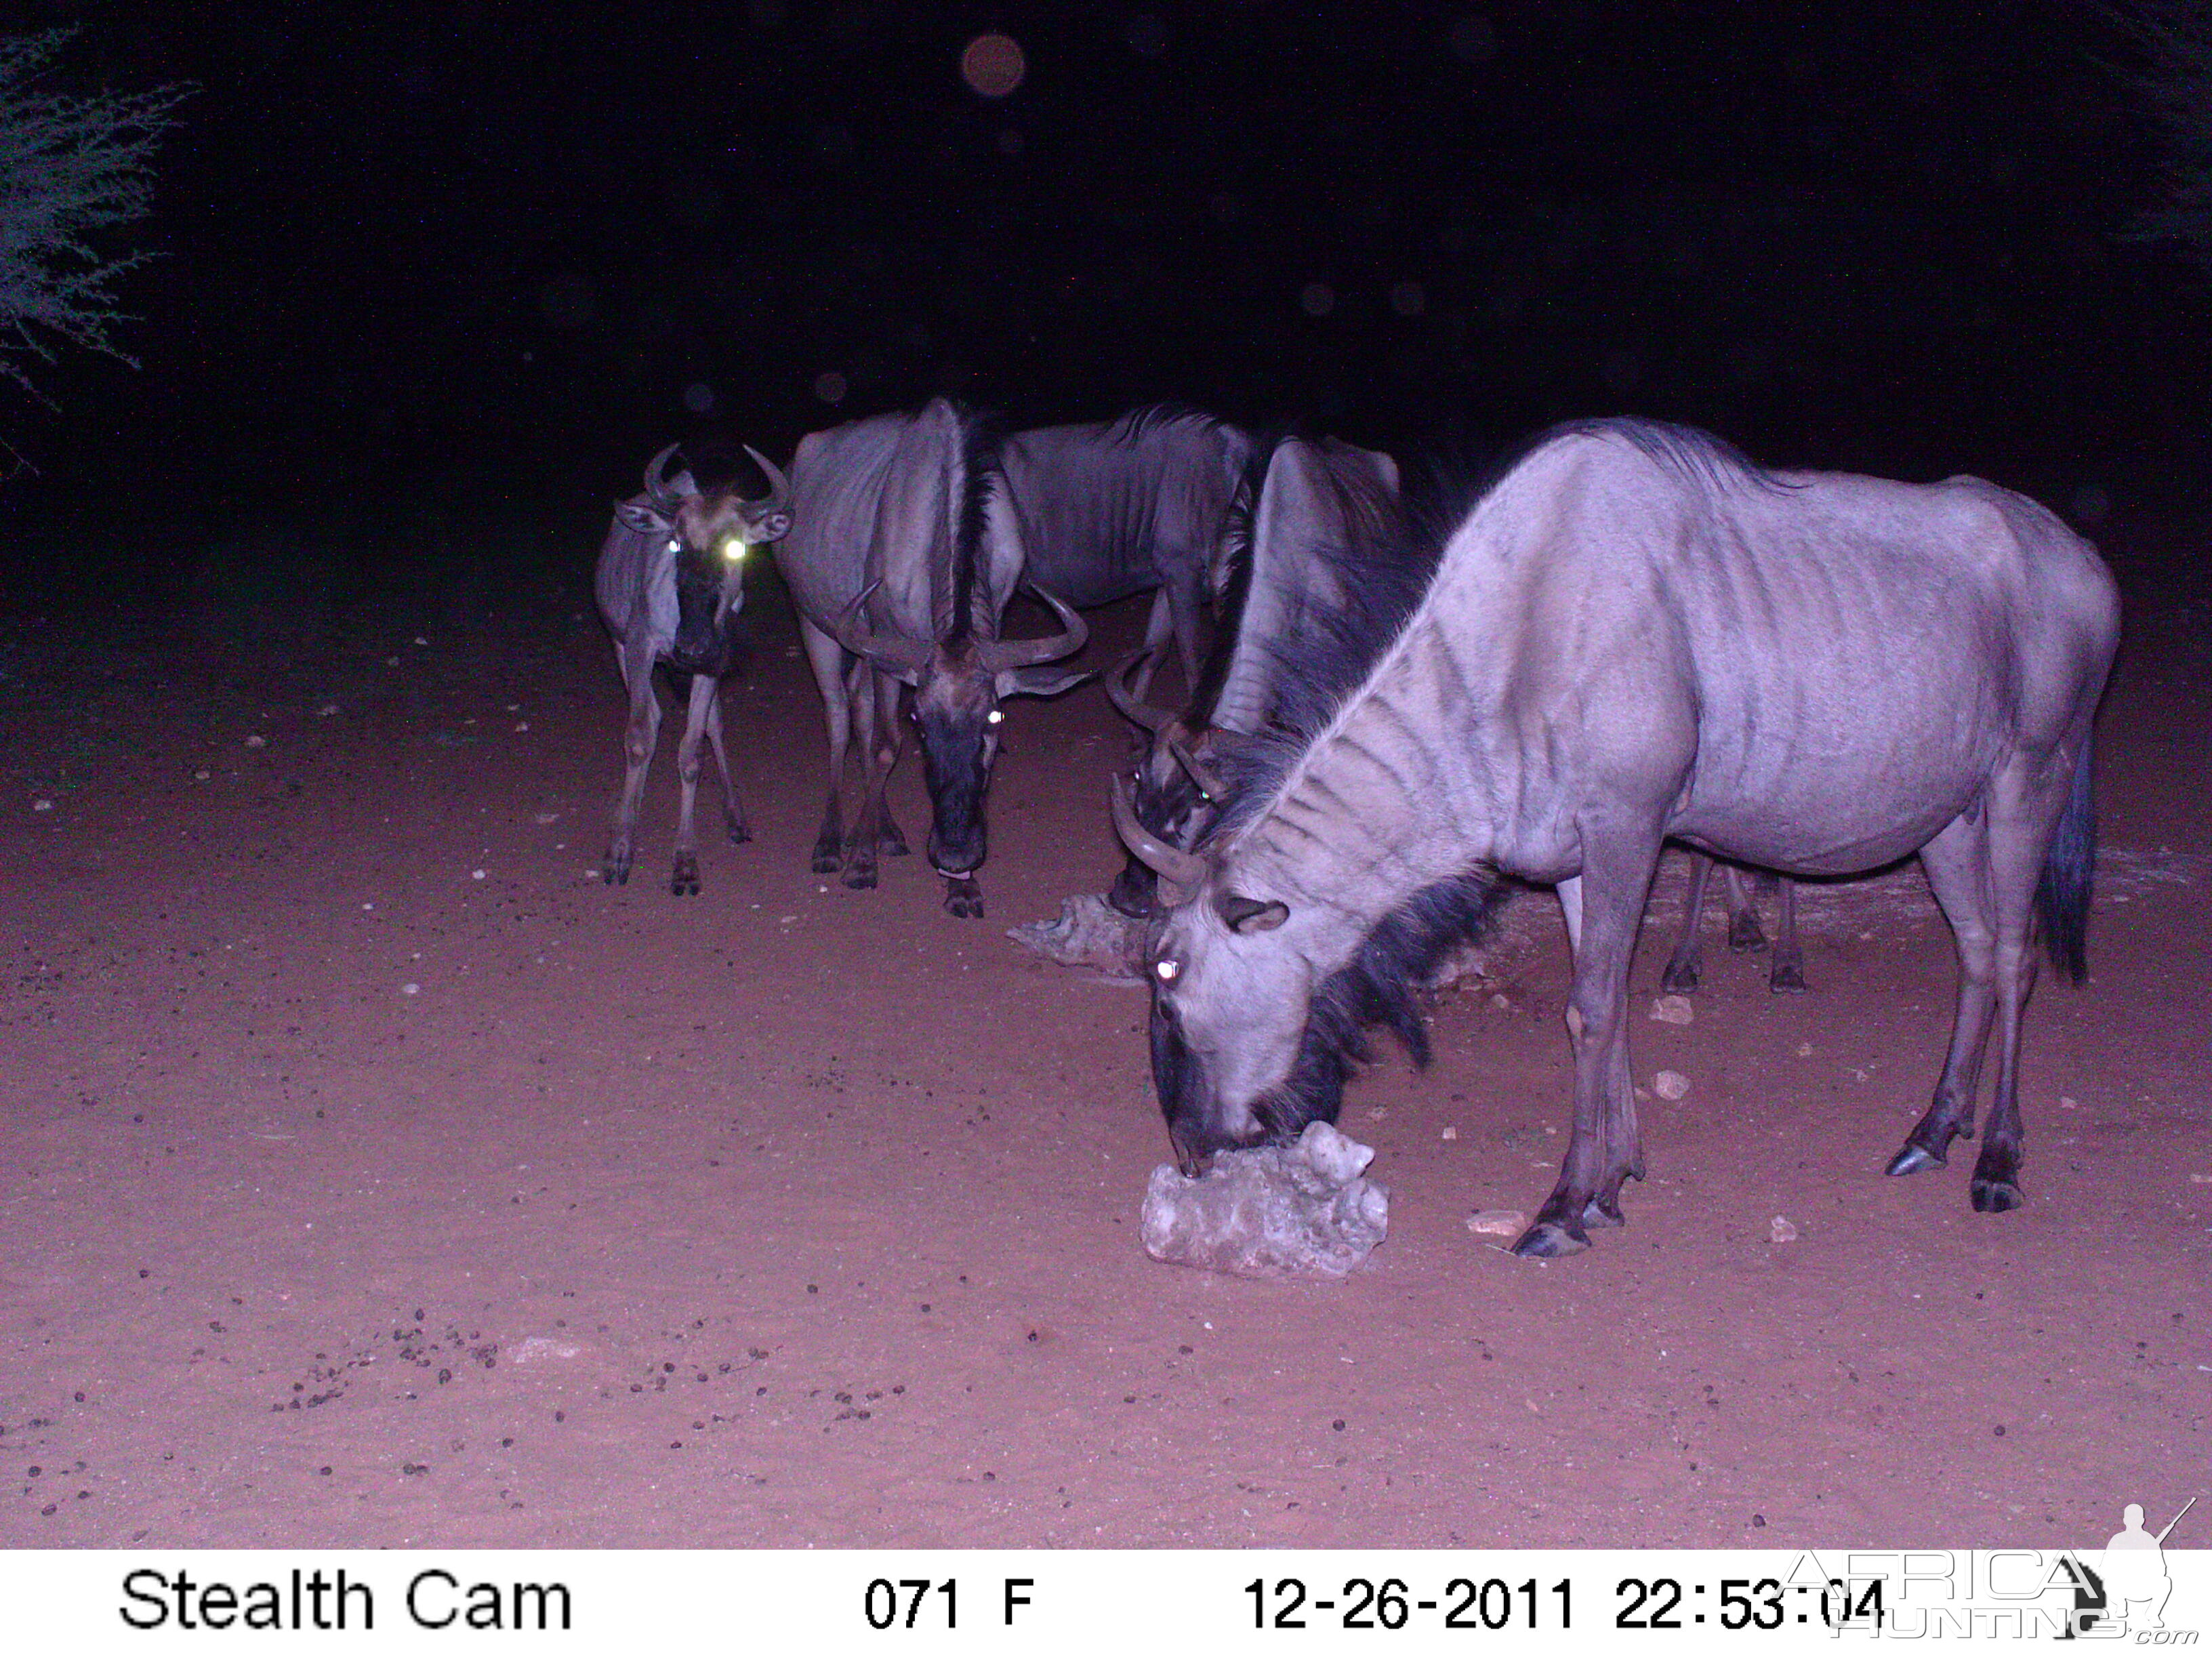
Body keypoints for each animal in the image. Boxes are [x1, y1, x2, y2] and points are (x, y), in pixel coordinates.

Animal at [592, 442, 792, 898]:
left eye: (736, 546)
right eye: (676, 542)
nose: (691, 644)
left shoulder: (710, 666)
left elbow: (692, 751)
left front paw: (685, 863)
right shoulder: (640, 648)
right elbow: (637, 739)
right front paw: (620, 850)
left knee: (711, 726)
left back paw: (735, 818)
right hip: (620, 646)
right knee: (650, 720)